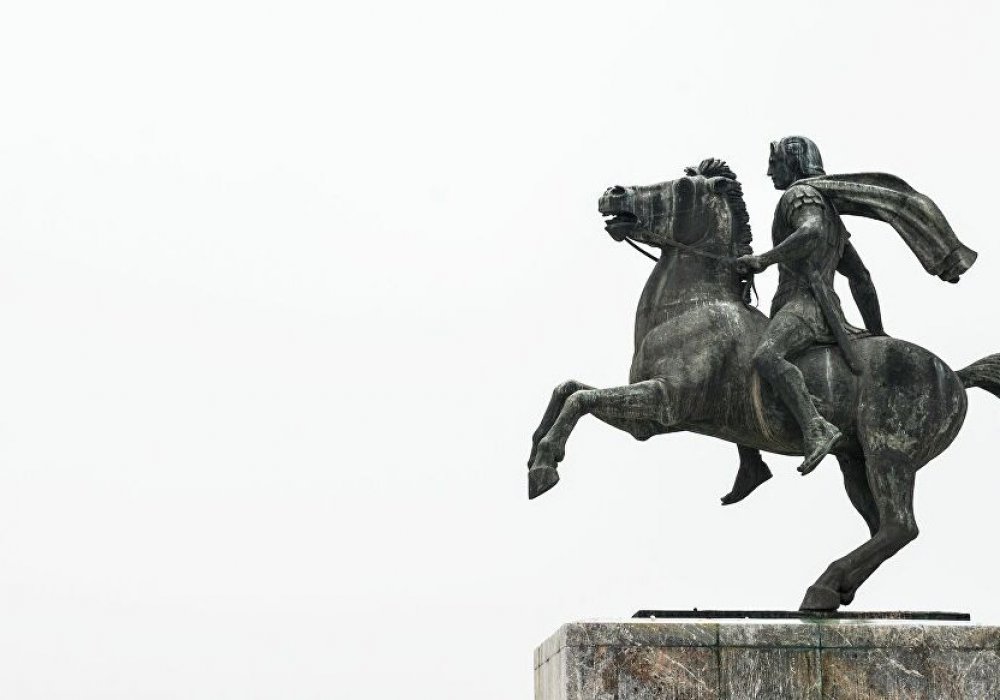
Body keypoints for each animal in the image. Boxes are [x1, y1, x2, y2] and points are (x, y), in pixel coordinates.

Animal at [528, 156, 996, 608]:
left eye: (683, 187)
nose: (613, 192)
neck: (693, 306)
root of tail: (954, 375)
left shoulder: (662, 406)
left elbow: (582, 399)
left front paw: (544, 470)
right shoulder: (647, 414)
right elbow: (567, 388)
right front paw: (534, 452)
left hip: (890, 455)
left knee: (900, 526)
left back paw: (821, 583)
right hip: (856, 461)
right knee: (883, 528)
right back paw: (833, 589)